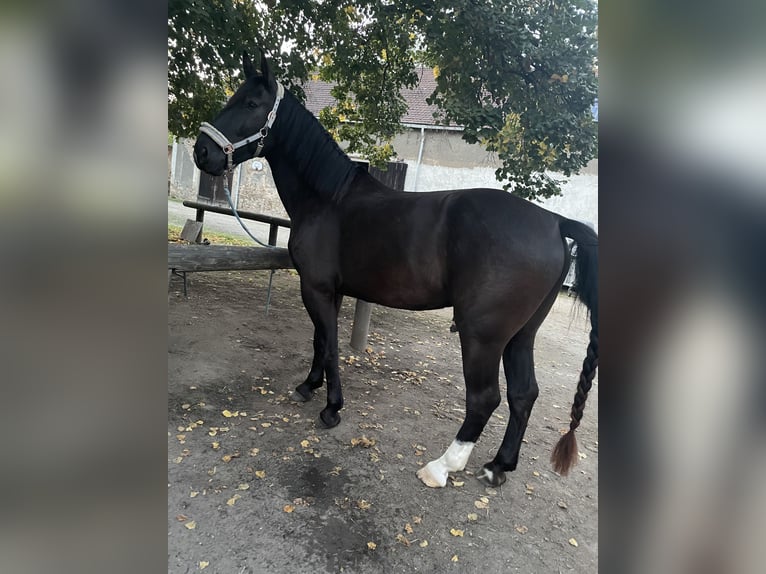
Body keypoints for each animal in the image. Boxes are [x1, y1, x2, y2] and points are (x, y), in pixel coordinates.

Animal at [194, 51, 600, 488]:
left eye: (252, 103)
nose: (202, 152)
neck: (328, 199)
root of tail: (555, 221)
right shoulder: (332, 291)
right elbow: (320, 341)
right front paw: (308, 386)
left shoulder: (316, 287)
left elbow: (331, 345)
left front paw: (332, 408)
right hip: (521, 335)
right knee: (524, 394)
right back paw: (498, 466)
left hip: (483, 334)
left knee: (485, 397)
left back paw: (442, 466)